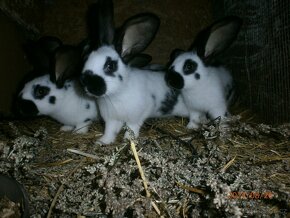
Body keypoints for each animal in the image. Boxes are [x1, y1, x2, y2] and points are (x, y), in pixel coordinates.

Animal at [61, 0, 189, 145]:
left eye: (110, 66)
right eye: (87, 57)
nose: (85, 82)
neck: (117, 94)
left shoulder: (136, 116)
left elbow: (132, 128)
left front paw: (128, 141)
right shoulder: (112, 119)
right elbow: (110, 131)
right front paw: (102, 142)